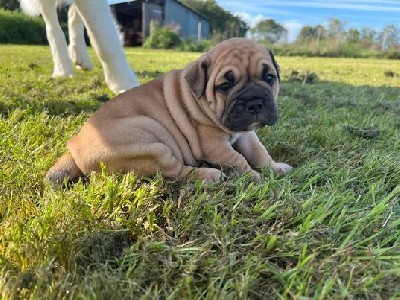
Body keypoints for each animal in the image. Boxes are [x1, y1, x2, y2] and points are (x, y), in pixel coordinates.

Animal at [47, 37, 292, 184]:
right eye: (225, 85)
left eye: (269, 78)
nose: (255, 103)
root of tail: (75, 148)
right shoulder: (214, 146)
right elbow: (239, 159)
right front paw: (255, 177)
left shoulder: (247, 134)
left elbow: (259, 153)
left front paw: (275, 168)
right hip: (154, 143)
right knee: (176, 172)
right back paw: (209, 175)